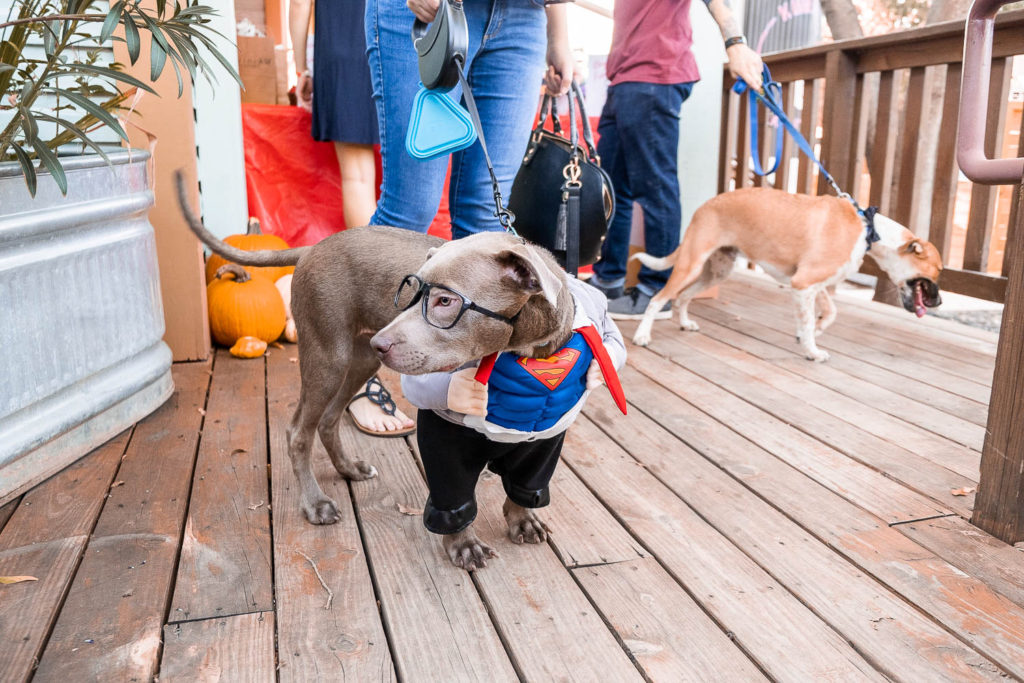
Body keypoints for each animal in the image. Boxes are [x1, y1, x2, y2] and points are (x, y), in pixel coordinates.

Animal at [630, 184, 942, 360]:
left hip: (715, 273)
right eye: (937, 271)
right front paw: (812, 350)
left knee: (682, 298)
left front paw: (814, 331)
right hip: (690, 265)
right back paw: (642, 336)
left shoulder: (814, 284)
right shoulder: (804, 284)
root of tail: (703, 206)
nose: (939, 302)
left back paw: (684, 323)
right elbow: (808, 321)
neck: (868, 229)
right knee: (658, 299)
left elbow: (829, 313)